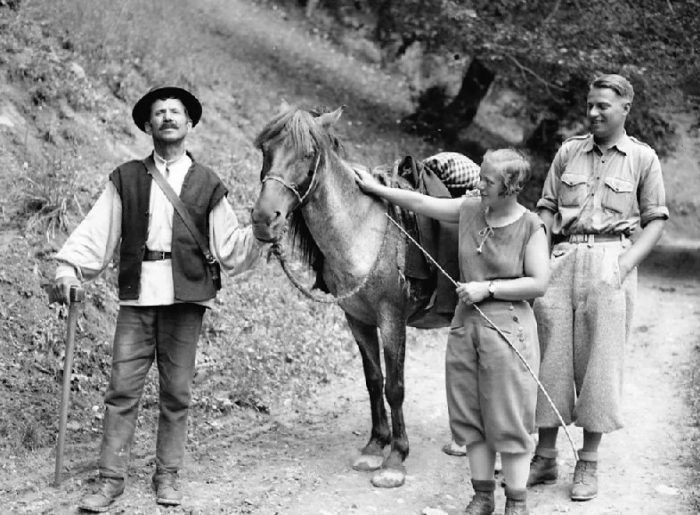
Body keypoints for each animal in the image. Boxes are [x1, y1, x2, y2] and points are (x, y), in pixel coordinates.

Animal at [252, 103, 446, 490]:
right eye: (266, 149)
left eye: (308, 153)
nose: (265, 219)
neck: (361, 232)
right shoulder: (356, 318)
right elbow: (373, 381)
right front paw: (374, 446)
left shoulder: (392, 318)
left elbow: (395, 386)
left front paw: (396, 458)